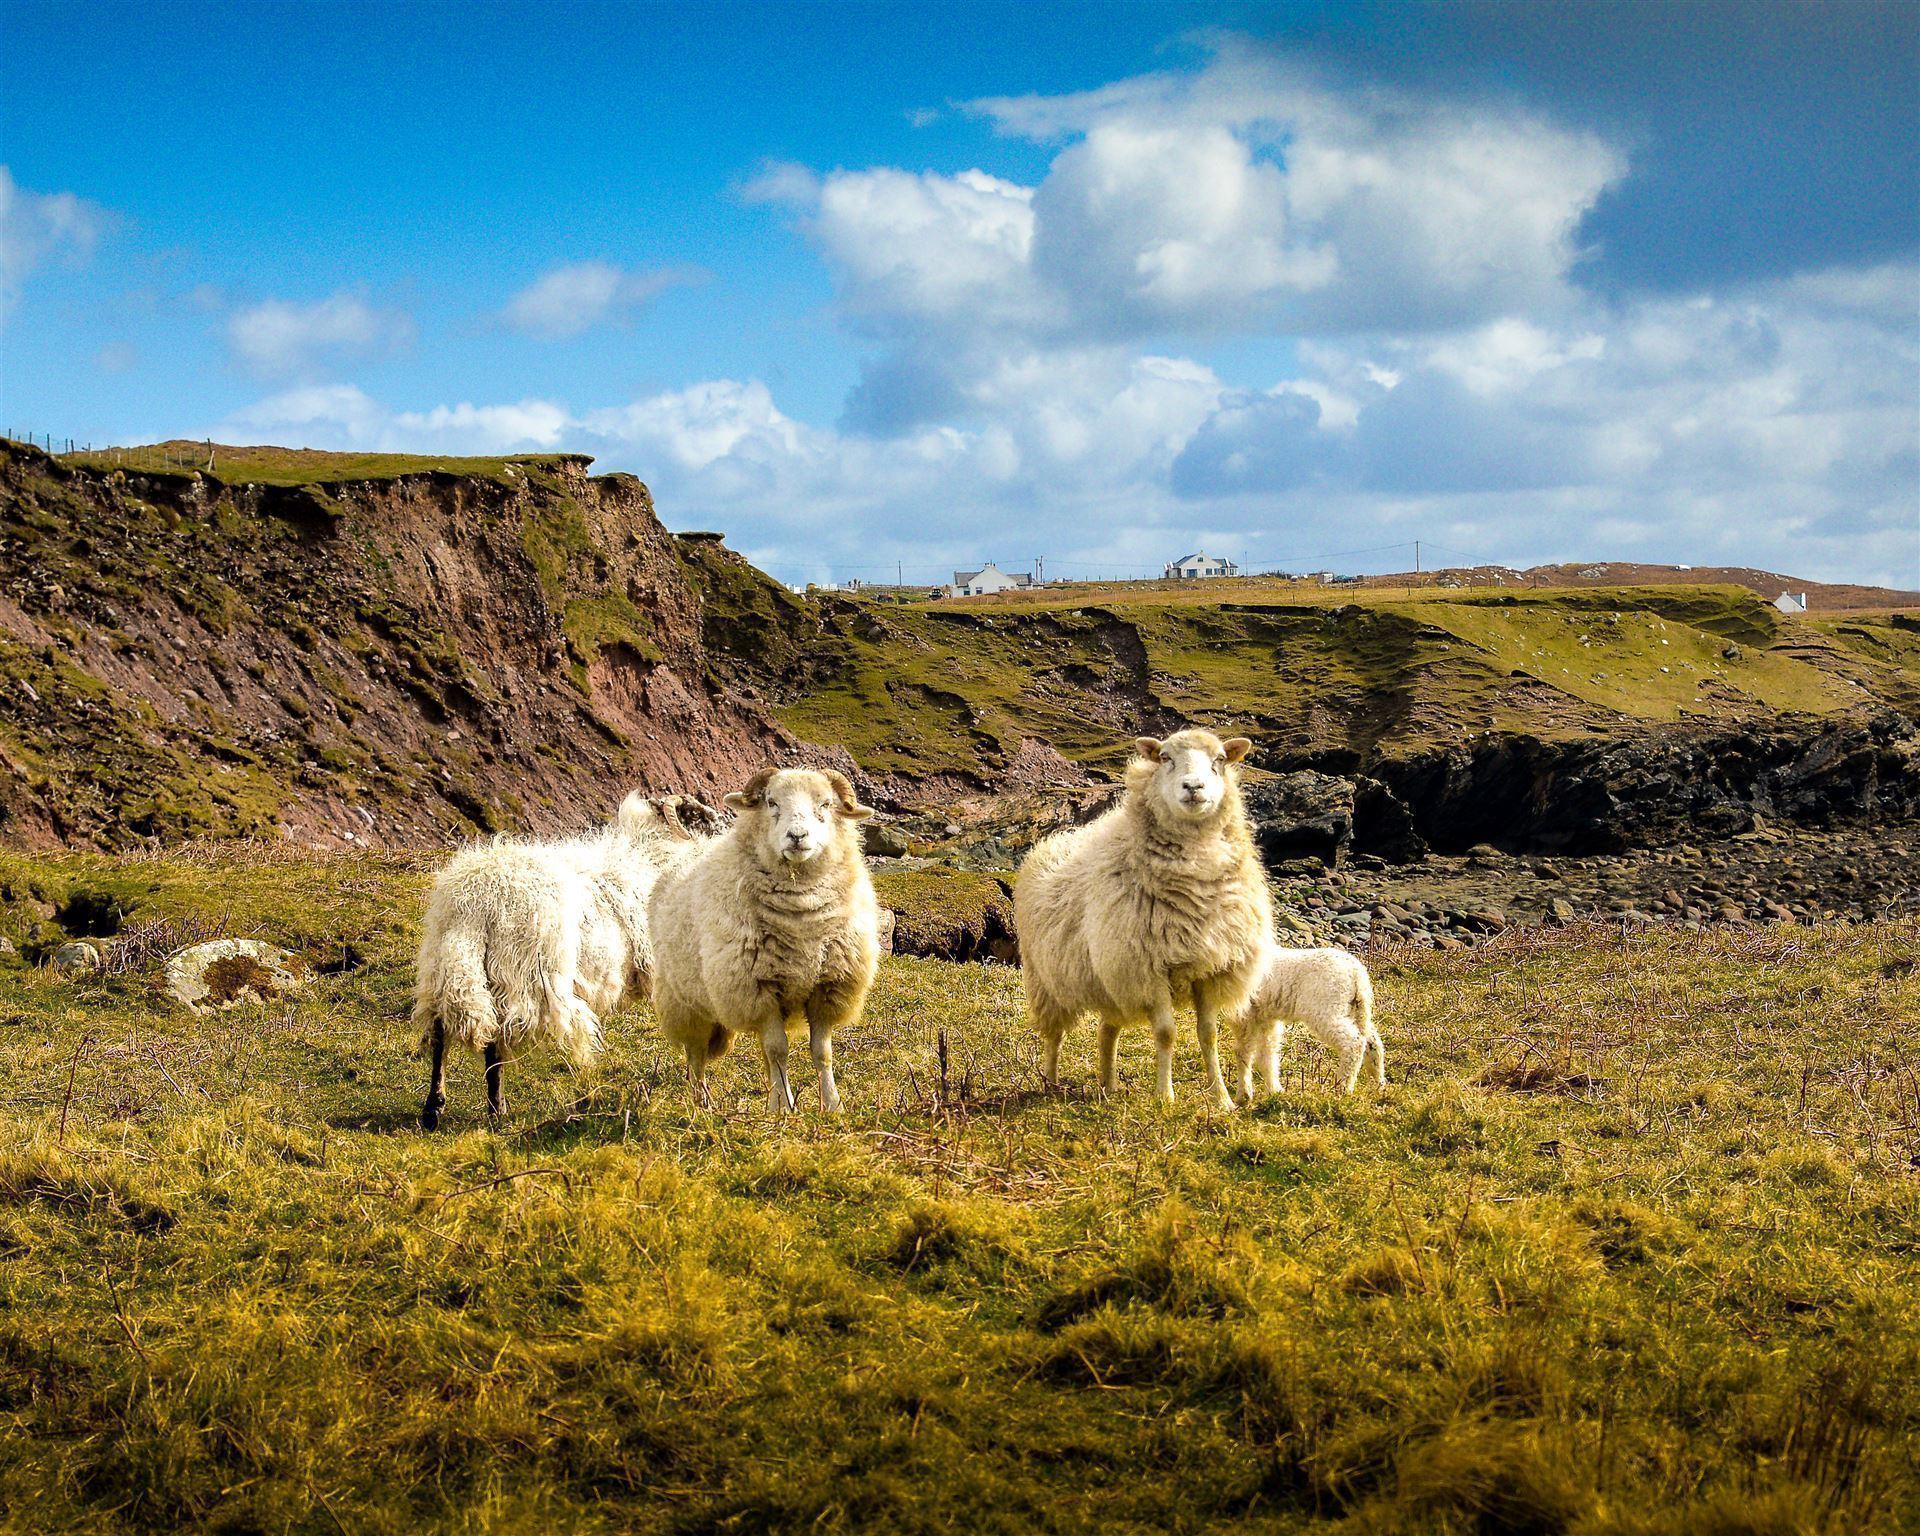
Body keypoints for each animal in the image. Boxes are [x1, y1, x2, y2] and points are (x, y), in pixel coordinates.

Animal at [414, 792, 711, 1129]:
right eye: (698, 815)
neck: (651, 854)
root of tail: (475, 901)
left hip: (448, 962)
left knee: (442, 1029)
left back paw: (435, 1108)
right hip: (521, 971)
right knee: (495, 1039)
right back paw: (495, 1108)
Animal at [648, 766, 881, 1113]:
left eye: (826, 804)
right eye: (771, 802)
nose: (797, 836)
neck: (801, 920)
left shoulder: (827, 987)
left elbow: (821, 1053)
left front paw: (832, 1105)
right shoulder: (758, 990)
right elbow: (777, 1051)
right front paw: (782, 1107)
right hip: (686, 1003)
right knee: (695, 1057)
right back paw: (702, 1104)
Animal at [1015, 729, 1272, 1110]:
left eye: (1220, 760)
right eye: (1165, 758)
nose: (1193, 787)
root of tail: (1053, 841)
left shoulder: (1209, 968)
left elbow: (1208, 1035)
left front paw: (1222, 1098)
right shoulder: (1148, 969)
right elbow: (1166, 1034)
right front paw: (1165, 1096)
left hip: (1109, 980)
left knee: (1107, 1030)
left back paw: (1108, 1085)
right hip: (1046, 979)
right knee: (1055, 1035)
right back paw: (1049, 1082)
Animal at [1231, 940, 1385, 1099]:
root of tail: (1357, 973)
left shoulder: (1244, 1014)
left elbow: (1243, 1051)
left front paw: (1243, 1094)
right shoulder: (1265, 1017)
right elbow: (1267, 1052)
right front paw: (1274, 1090)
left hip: (1327, 1008)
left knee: (1354, 1042)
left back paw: (1342, 1088)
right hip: (1358, 1009)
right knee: (1372, 1041)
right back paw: (1378, 1082)